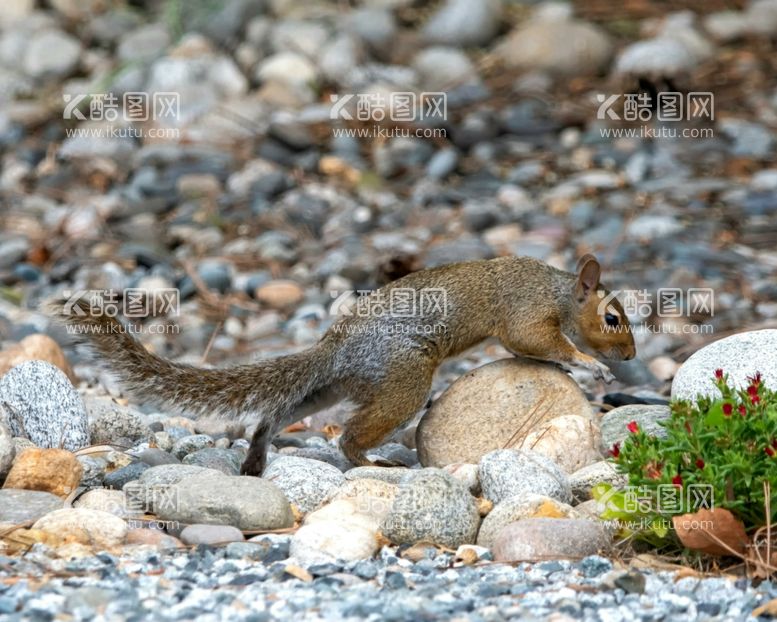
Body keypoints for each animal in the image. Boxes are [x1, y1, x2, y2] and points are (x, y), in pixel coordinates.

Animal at [45, 254, 632, 478]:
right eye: (612, 318)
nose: (628, 357)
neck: (556, 291)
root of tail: (335, 348)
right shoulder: (525, 313)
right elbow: (534, 343)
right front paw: (587, 364)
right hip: (405, 382)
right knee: (349, 436)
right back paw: (373, 463)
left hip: (330, 389)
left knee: (279, 414)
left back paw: (257, 456)